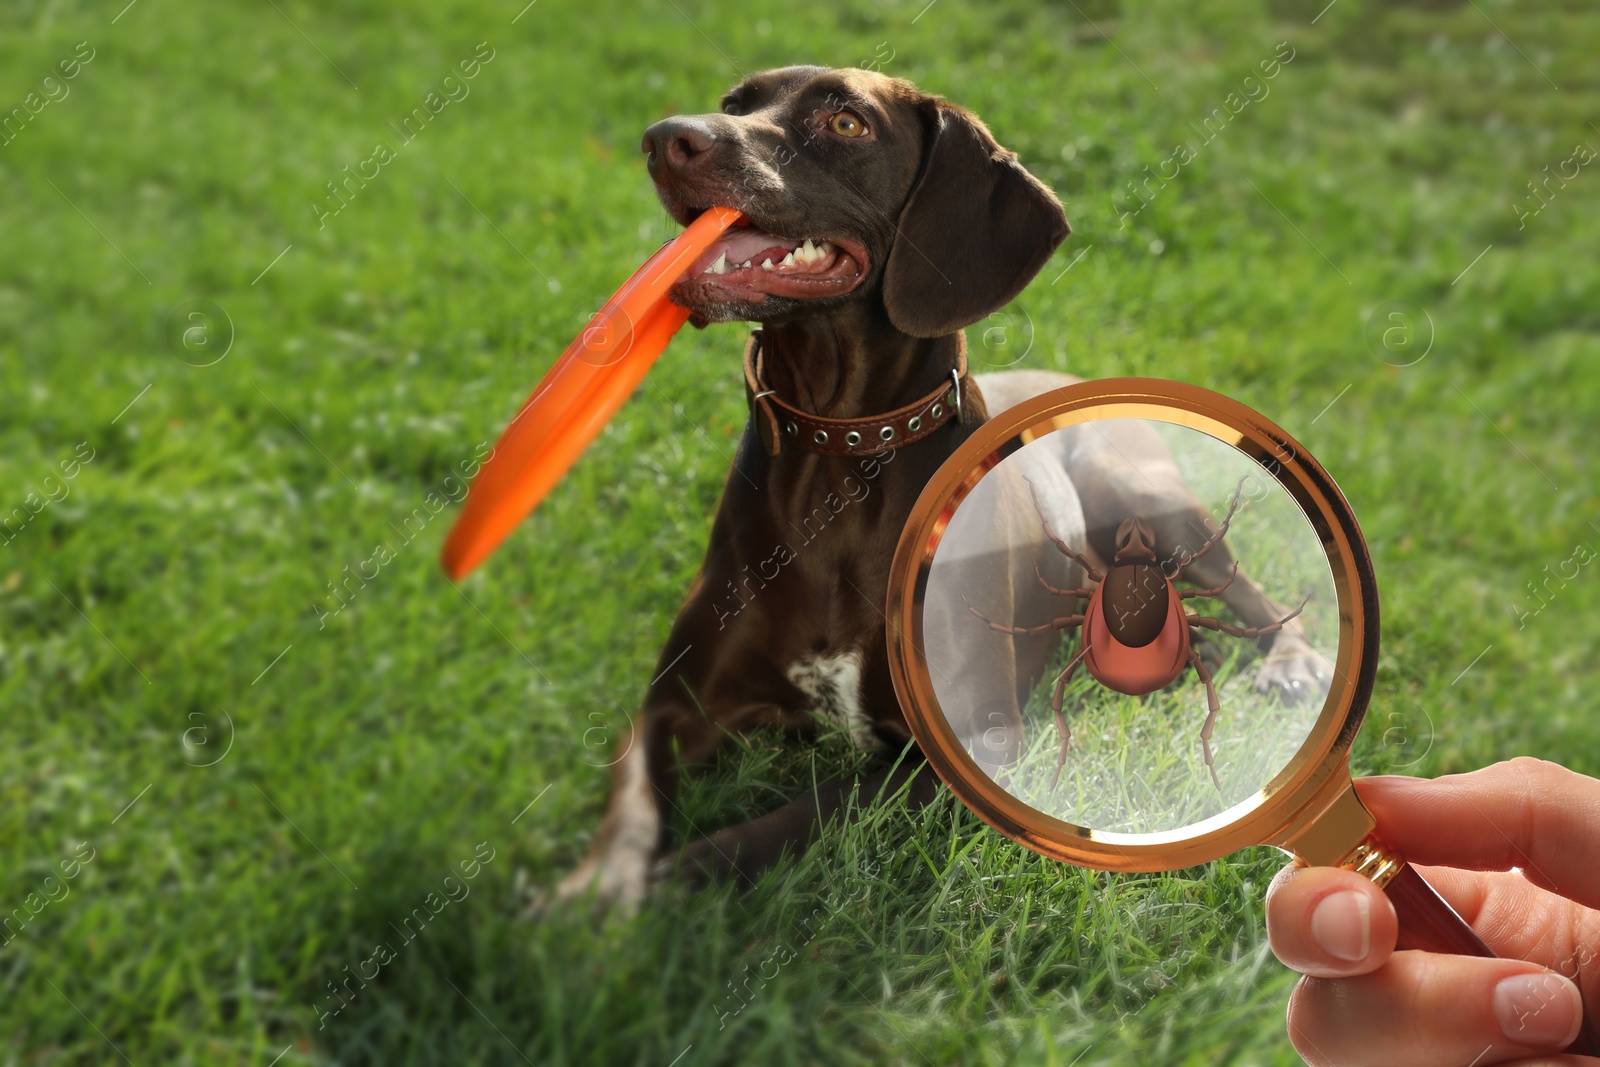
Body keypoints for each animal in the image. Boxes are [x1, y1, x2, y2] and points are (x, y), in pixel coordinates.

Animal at [544, 64, 1331, 908]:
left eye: (846, 122)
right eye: (734, 104)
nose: (665, 140)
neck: (839, 459)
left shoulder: (974, 742)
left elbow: (815, 807)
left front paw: (687, 870)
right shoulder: (675, 704)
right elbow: (632, 798)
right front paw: (596, 884)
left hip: (1143, 493)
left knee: (1254, 593)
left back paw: (1292, 665)